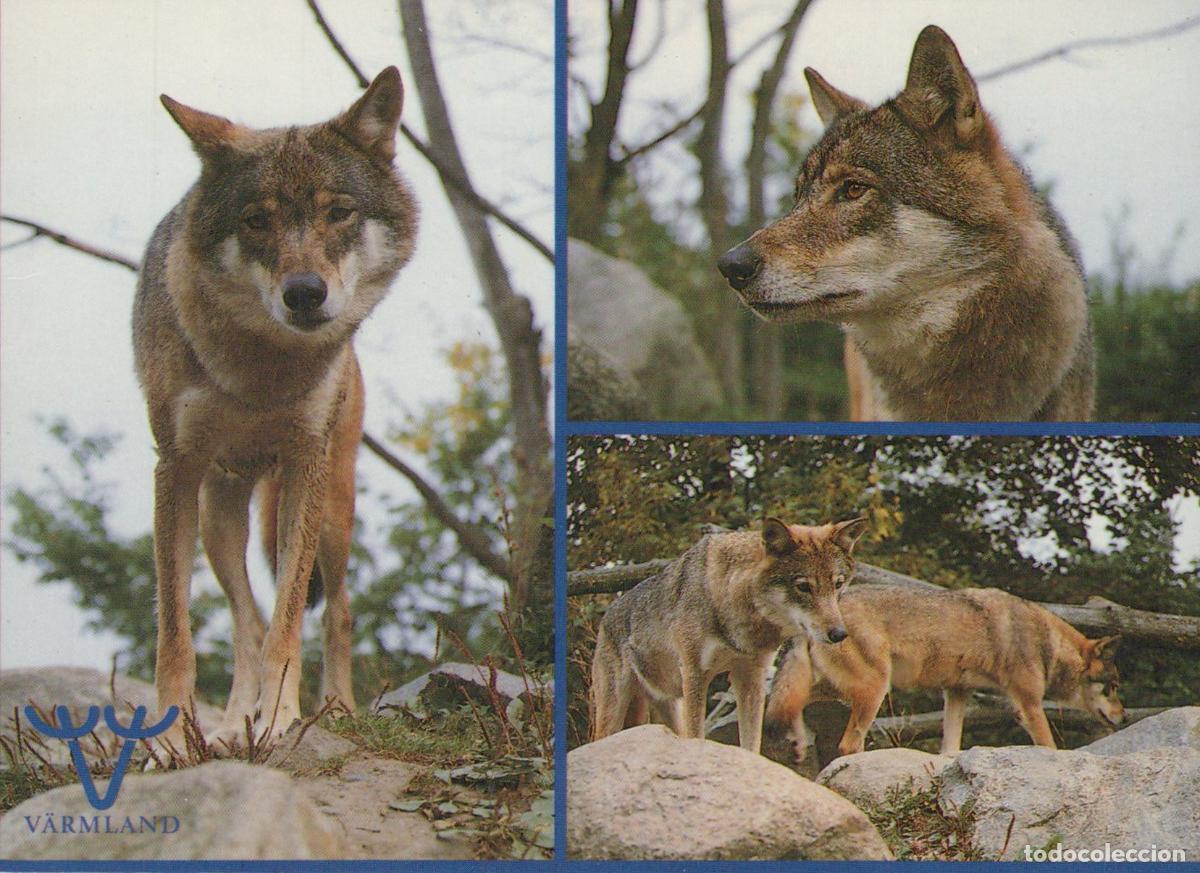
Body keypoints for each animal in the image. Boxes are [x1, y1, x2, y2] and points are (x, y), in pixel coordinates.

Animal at [132, 67, 417, 750]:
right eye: (257, 222)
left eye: (338, 213)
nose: (305, 294)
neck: (259, 370)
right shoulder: (173, 471)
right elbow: (176, 633)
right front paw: (172, 741)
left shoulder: (303, 464)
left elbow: (290, 619)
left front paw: (282, 720)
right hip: (218, 520)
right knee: (247, 623)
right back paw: (233, 723)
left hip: (333, 512)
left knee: (338, 612)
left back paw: (335, 709)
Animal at [589, 517, 868, 753]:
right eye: (803, 587)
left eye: (838, 584)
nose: (839, 633)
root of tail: (605, 618)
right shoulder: (695, 674)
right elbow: (697, 735)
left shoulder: (751, 677)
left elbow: (751, 743)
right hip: (613, 712)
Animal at [766, 586, 1125, 760]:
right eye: (1113, 686)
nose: (1122, 717)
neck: (1045, 643)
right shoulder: (1029, 706)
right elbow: (1048, 746)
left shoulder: (956, 693)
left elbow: (950, 746)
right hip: (874, 690)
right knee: (847, 746)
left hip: (837, 689)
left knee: (784, 704)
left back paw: (797, 743)